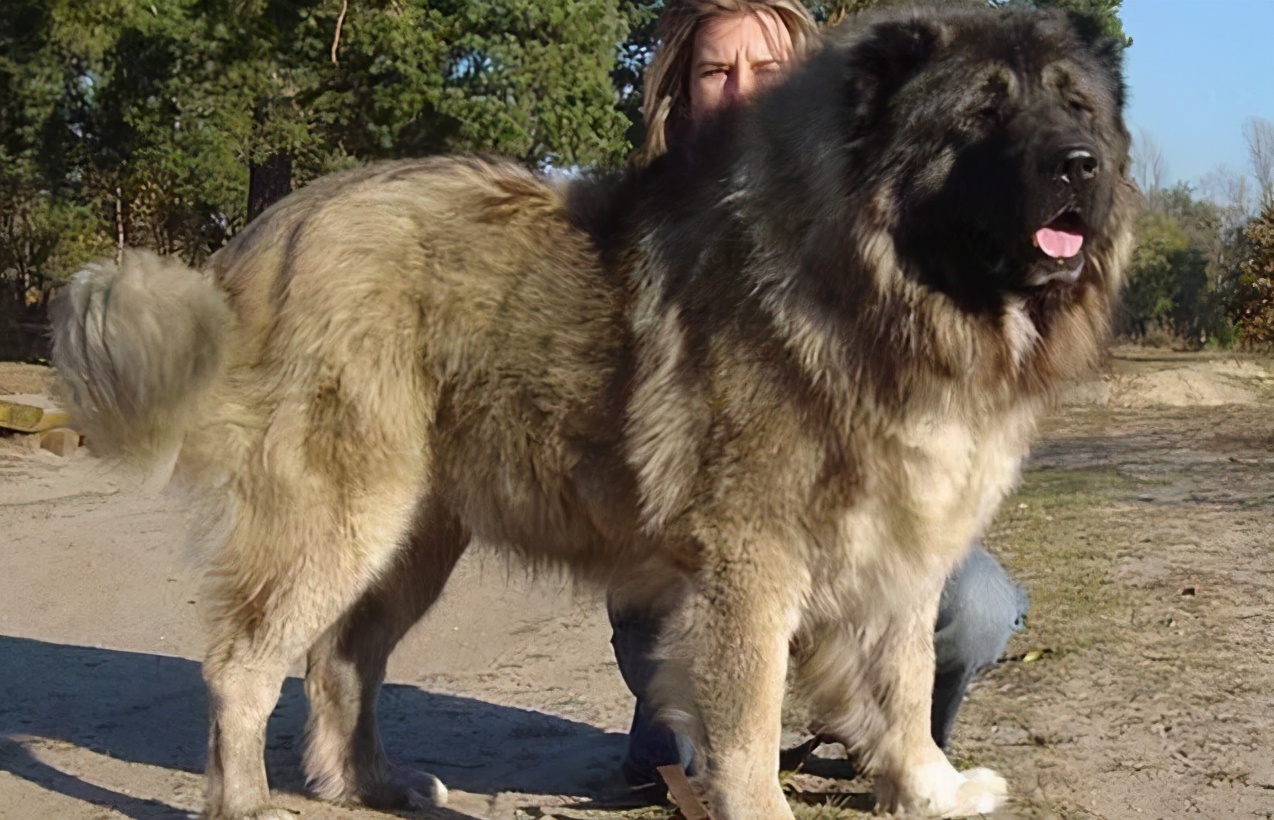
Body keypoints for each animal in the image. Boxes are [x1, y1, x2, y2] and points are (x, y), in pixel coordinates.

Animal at [54, 6, 1141, 820]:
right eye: (983, 115)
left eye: (1073, 104)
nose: (1080, 163)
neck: (878, 289)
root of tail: (277, 227)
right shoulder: (749, 564)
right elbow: (750, 721)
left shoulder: (901, 551)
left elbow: (905, 684)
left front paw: (928, 787)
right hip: (341, 517)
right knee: (243, 663)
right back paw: (246, 800)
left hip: (413, 538)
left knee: (340, 661)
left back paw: (376, 784)